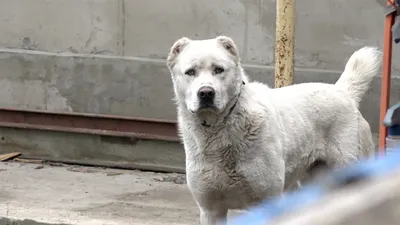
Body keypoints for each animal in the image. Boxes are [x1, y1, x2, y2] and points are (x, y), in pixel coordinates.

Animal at [166, 36, 382, 224]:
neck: (221, 128)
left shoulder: (266, 202)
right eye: (190, 72)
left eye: (219, 69)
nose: (206, 93)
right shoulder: (211, 210)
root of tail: (343, 92)